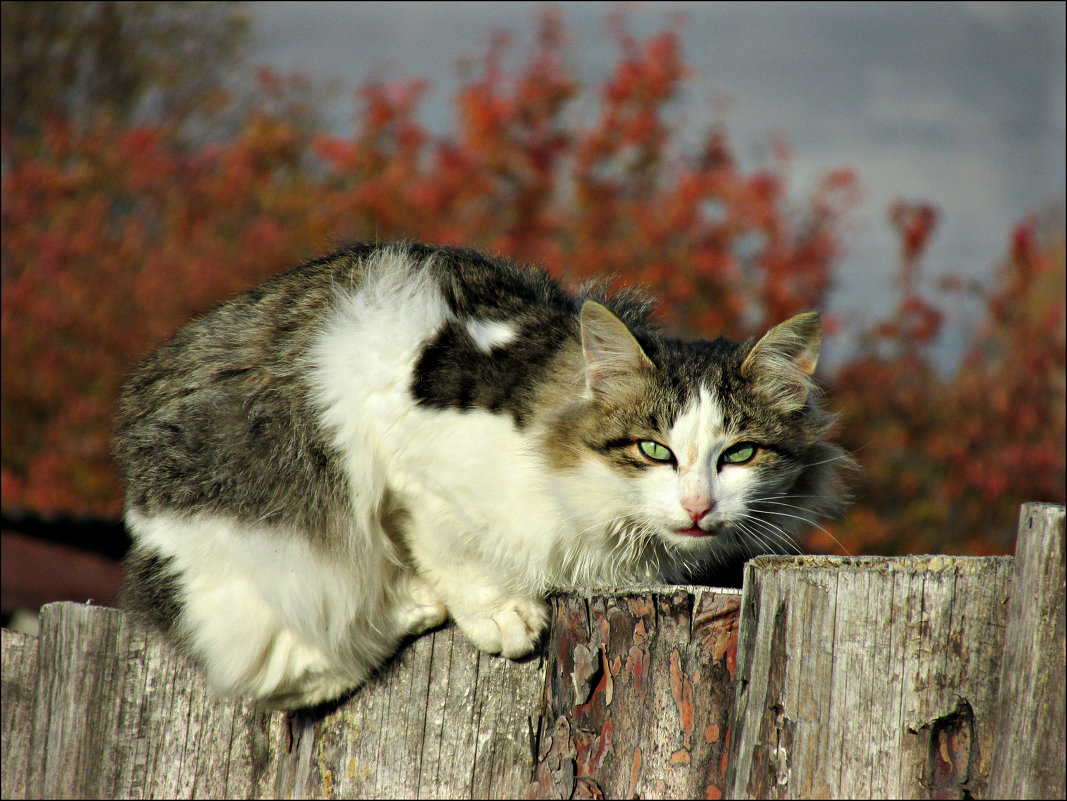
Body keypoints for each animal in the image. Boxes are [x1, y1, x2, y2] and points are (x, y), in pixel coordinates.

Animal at [114, 243, 849, 708]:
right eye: (652, 449)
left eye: (739, 455)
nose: (698, 505)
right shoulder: (406, 461)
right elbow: (449, 551)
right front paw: (499, 613)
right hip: (266, 567)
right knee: (297, 667)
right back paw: (411, 603)